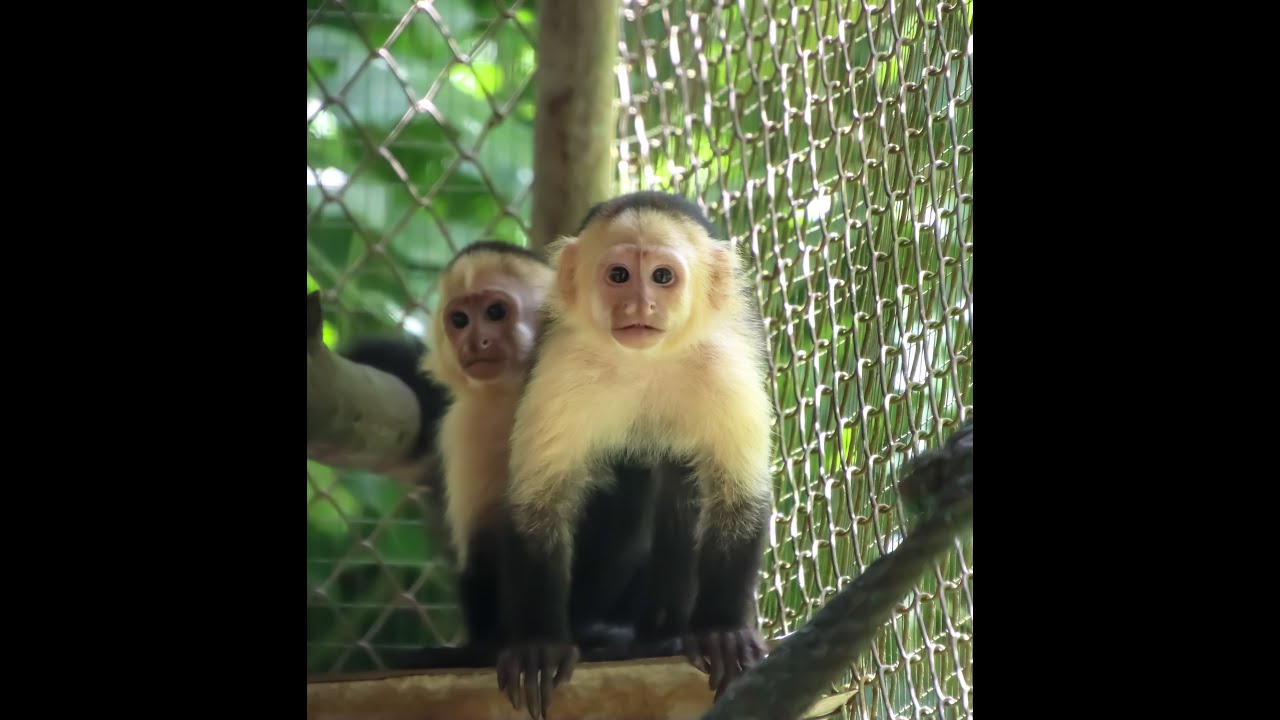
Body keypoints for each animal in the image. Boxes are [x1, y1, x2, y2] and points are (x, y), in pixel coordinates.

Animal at [494, 191, 777, 718]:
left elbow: (738, 497)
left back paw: (665, 634)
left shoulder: (725, 365)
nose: (638, 304)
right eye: (620, 275)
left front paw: (722, 630)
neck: (647, 360)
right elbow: (539, 502)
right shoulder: (562, 364)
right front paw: (540, 644)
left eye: (662, 276)